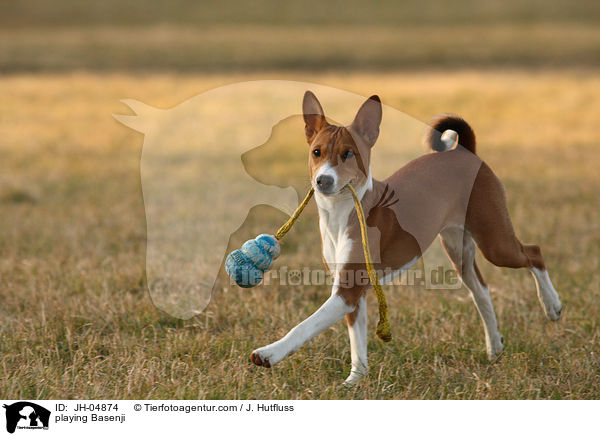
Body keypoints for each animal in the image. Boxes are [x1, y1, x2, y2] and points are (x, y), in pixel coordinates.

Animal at [250, 90, 564, 384]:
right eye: (317, 152)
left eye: (349, 154)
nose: (323, 181)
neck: (341, 214)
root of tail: (466, 152)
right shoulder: (353, 291)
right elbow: (357, 342)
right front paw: (356, 380)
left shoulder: (347, 291)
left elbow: (304, 327)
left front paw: (269, 353)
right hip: (458, 250)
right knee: (482, 291)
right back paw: (494, 347)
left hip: (495, 242)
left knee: (534, 253)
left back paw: (552, 306)